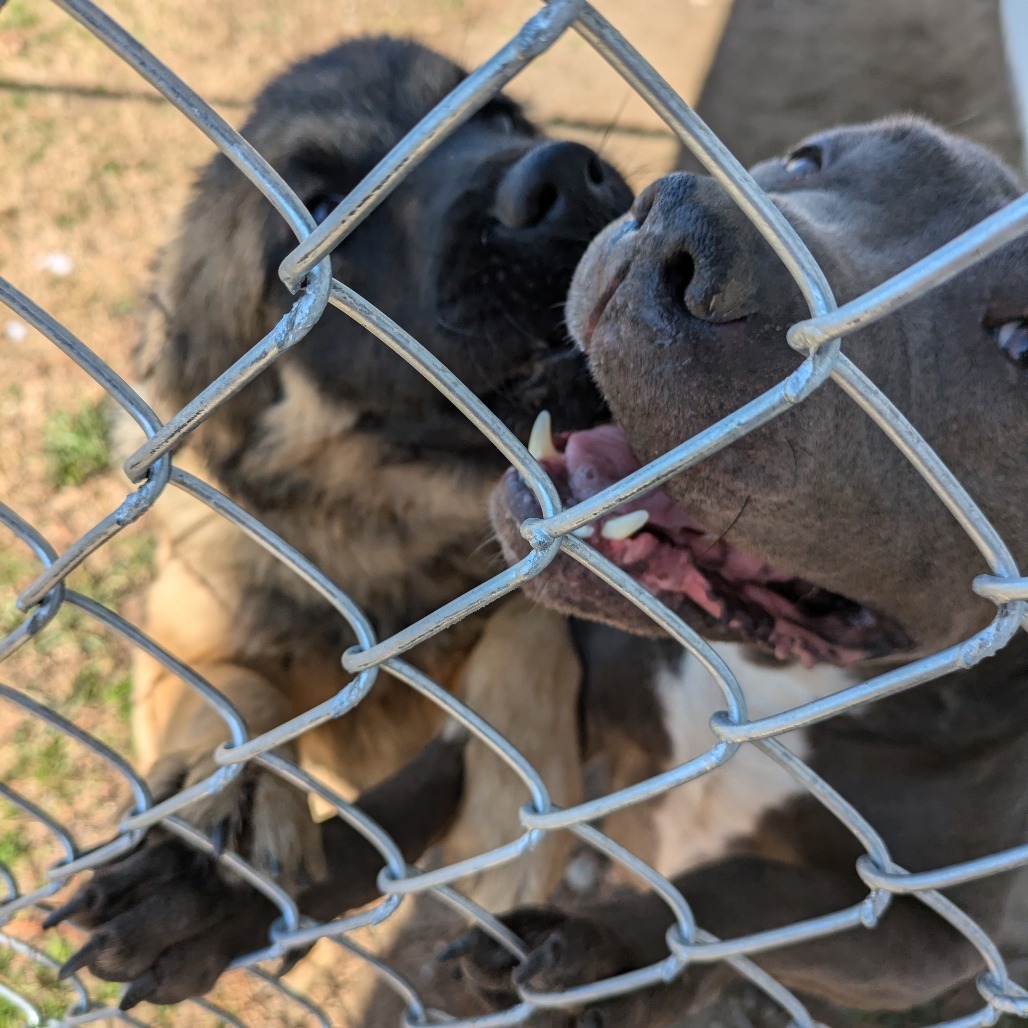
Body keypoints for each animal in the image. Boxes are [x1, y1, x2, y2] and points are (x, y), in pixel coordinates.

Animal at [458, 116, 1028, 1023]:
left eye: (1023, 341)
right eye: (806, 159)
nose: (679, 229)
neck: (774, 680)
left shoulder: (924, 932)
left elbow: (742, 899)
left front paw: (607, 953)